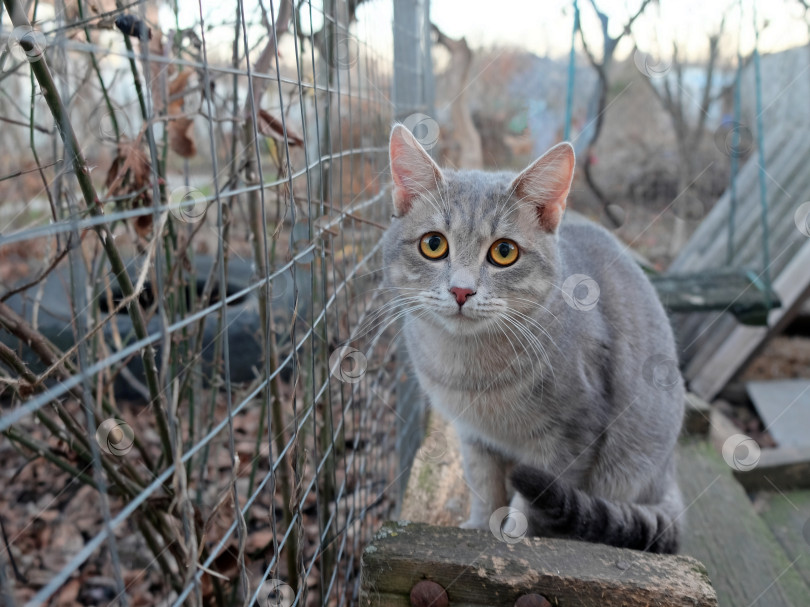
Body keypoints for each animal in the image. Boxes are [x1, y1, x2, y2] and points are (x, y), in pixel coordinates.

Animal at [382, 126, 684, 552]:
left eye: (504, 251)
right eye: (433, 244)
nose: (461, 291)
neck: (472, 372)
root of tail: (669, 471)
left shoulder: (569, 439)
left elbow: (531, 509)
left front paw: (514, 538)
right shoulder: (474, 437)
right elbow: (484, 487)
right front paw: (479, 526)